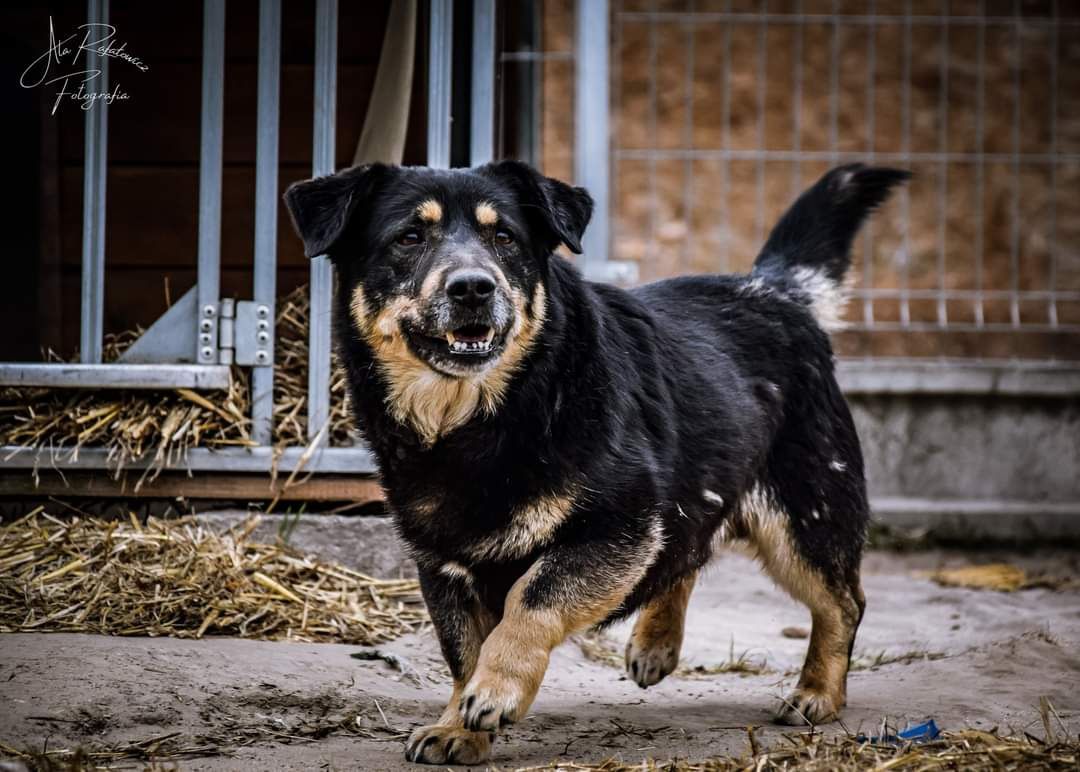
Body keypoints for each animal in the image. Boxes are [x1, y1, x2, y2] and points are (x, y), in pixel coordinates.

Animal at [282, 159, 907, 764]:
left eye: (504, 237)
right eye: (409, 237)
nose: (473, 288)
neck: (484, 417)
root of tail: (773, 291)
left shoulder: (616, 527)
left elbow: (530, 599)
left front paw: (497, 690)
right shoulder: (445, 568)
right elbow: (463, 653)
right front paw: (458, 726)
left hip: (805, 516)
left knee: (843, 602)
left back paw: (818, 693)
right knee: (689, 551)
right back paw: (656, 642)